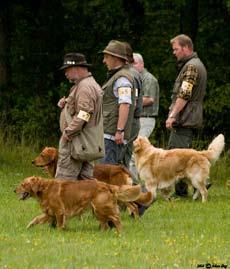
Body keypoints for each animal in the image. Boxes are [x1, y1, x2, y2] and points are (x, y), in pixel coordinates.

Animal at [14, 176, 143, 230]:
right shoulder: (49, 213)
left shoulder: (59, 212)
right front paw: (28, 226)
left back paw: (120, 233)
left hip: (101, 207)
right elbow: (36, 219)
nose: (14, 190)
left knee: (116, 219)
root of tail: (106, 185)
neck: (44, 189)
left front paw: (59, 233)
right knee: (105, 224)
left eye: (23, 184)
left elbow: (60, 225)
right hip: (97, 210)